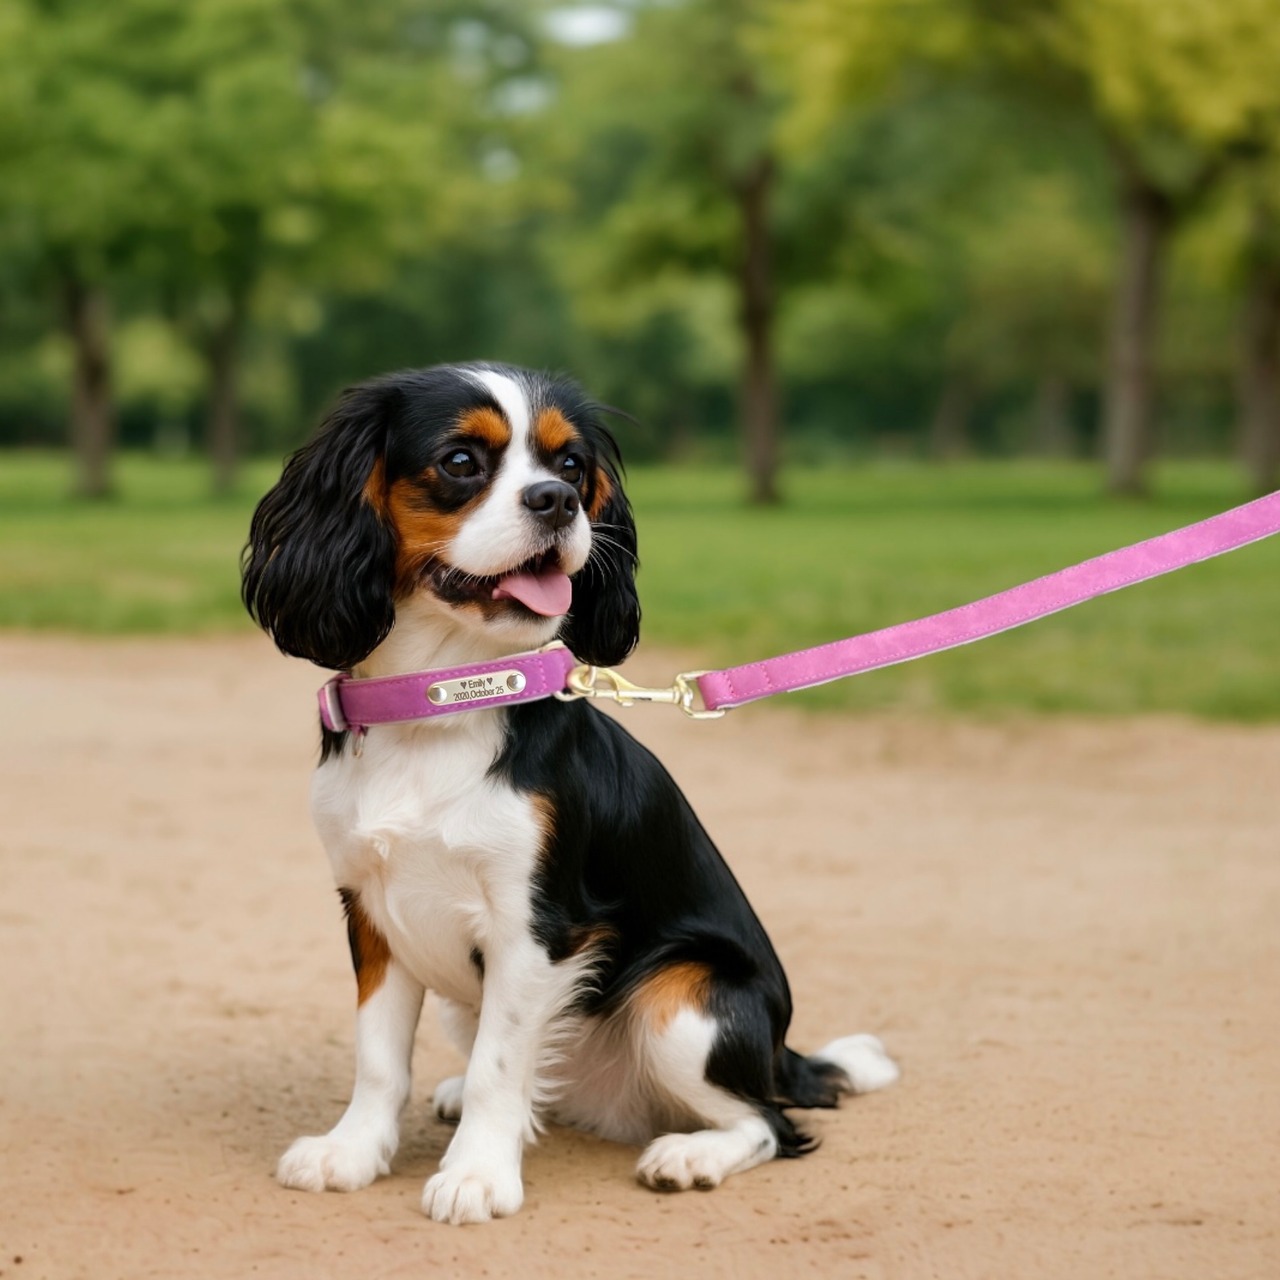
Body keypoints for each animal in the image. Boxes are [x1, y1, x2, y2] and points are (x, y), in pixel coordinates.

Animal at [241, 362, 898, 1225]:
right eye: (460, 461)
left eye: (572, 466)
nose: (554, 500)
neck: (444, 699)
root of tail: (781, 1056)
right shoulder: (372, 912)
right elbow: (380, 1058)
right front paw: (351, 1153)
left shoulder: (538, 928)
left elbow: (500, 1065)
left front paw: (477, 1176)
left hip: (682, 997)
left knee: (769, 1123)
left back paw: (690, 1155)